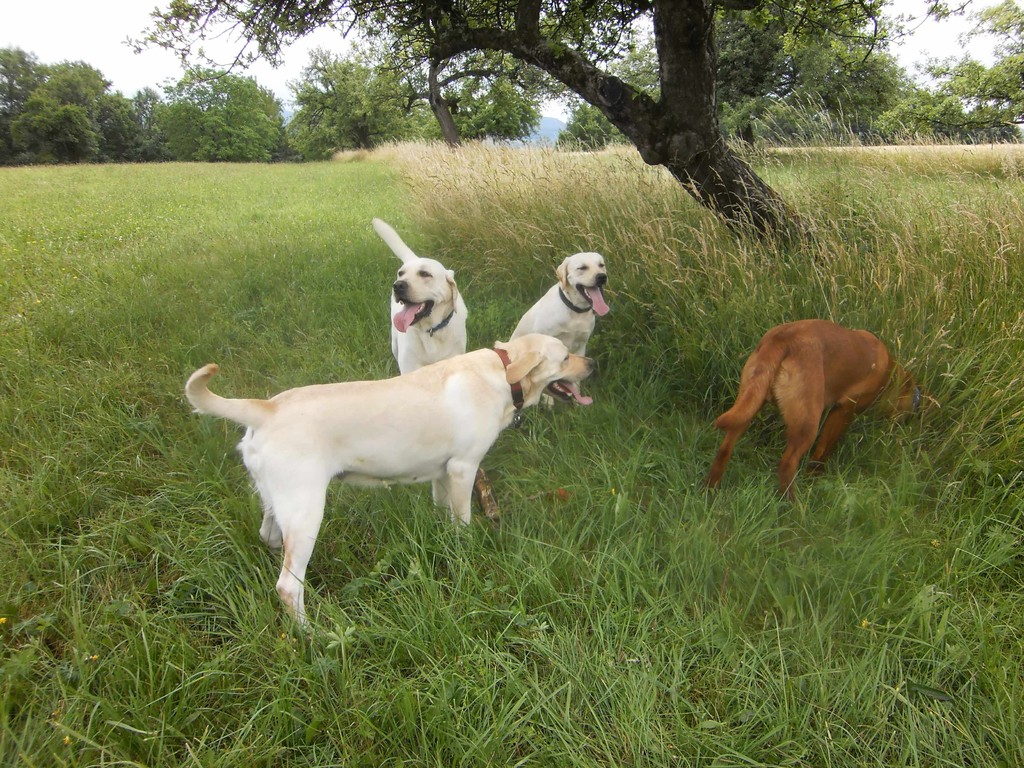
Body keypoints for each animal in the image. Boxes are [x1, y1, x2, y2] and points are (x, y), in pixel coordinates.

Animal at [372, 218, 468, 374]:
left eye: (425, 274)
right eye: (401, 273)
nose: (398, 285)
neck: (431, 331)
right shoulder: (410, 368)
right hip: (394, 341)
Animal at [704, 319, 921, 499]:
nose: (911, 418)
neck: (890, 372)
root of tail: (784, 339)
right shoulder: (844, 411)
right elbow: (822, 452)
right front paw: (813, 479)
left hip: (748, 403)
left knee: (724, 451)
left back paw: (711, 490)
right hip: (806, 426)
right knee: (787, 465)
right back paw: (793, 506)